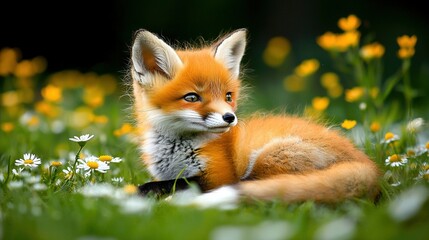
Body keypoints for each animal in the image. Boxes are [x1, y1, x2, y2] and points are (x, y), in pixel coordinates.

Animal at [129, 28, 380, 207]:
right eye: (192, 97)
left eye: (228, 96)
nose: (229, 117)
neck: (175, 150)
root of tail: (368, 165)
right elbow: (159, 182)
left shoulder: (218, 176)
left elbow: (170, 184)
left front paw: (142, 193)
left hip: (267, 158)